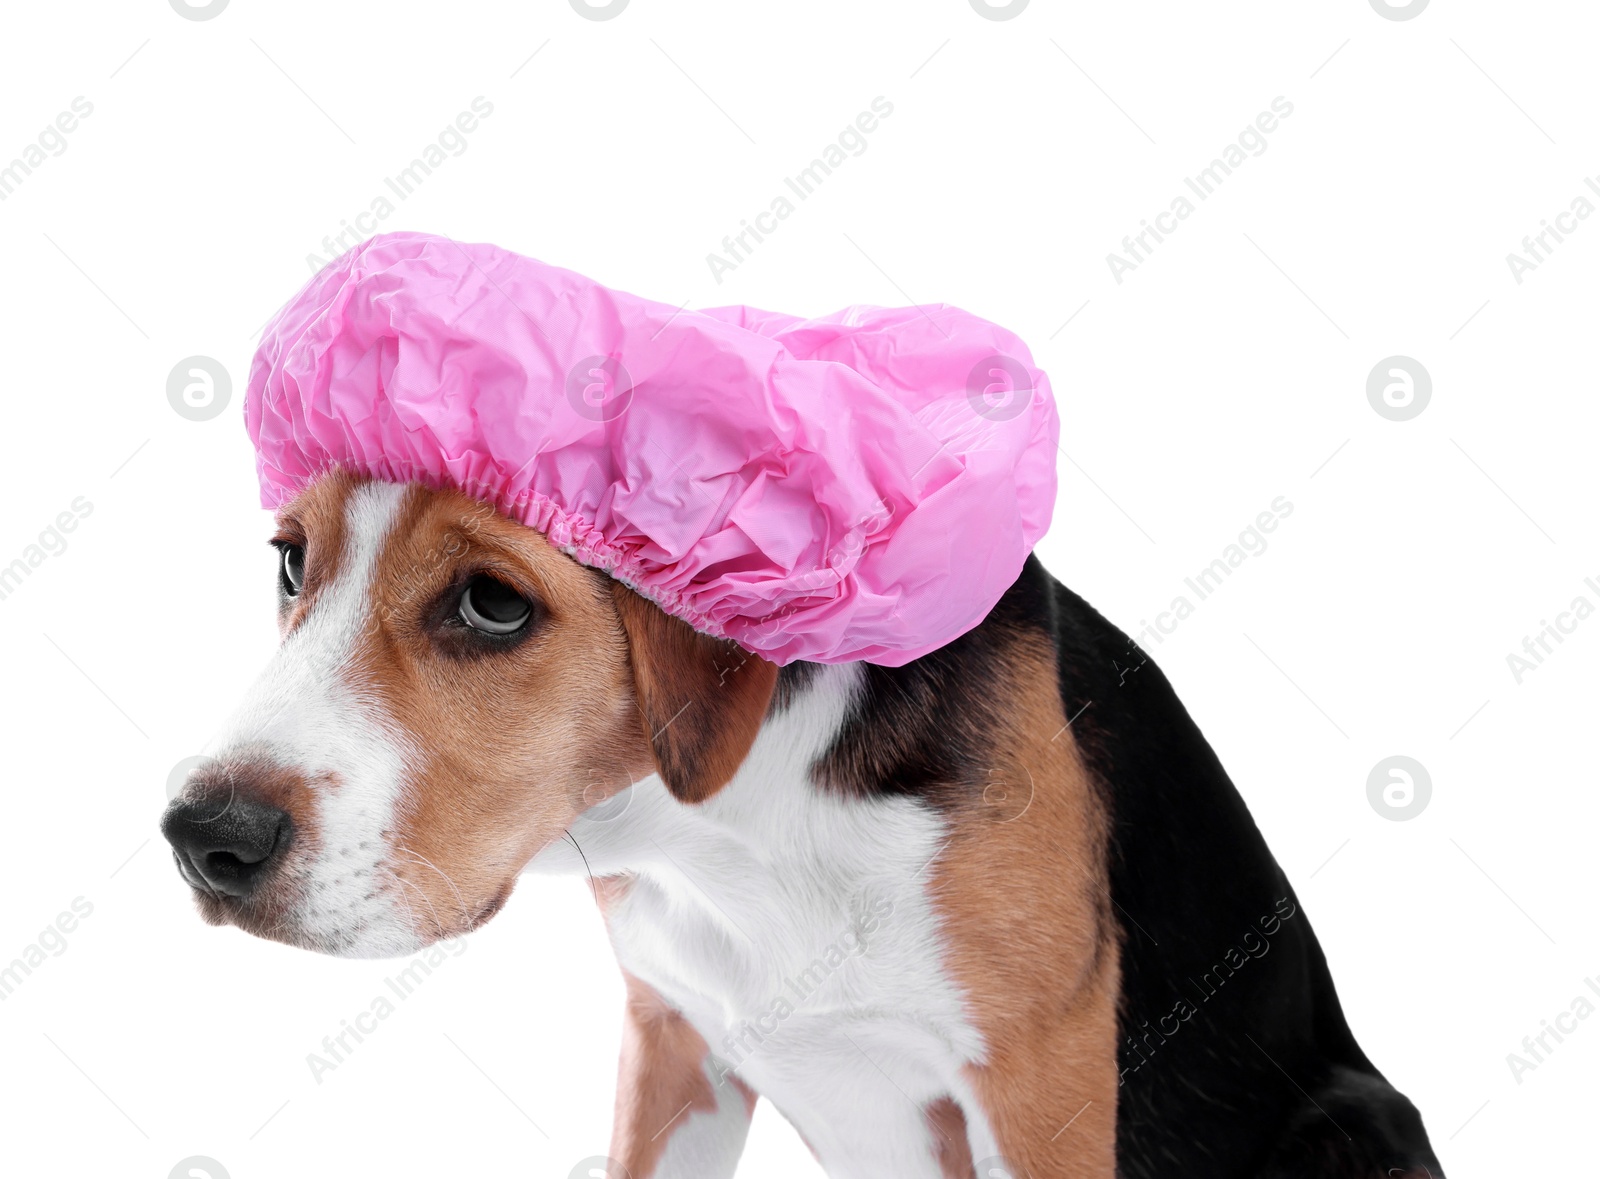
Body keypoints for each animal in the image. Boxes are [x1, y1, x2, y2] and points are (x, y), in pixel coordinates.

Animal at [165, 470, 1452, 1177]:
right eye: (291, 565)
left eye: (491, 604)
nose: (203, 838)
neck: (738, 833)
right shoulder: (672, 1044)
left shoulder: (1041, 1088)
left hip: (1358, 1123)